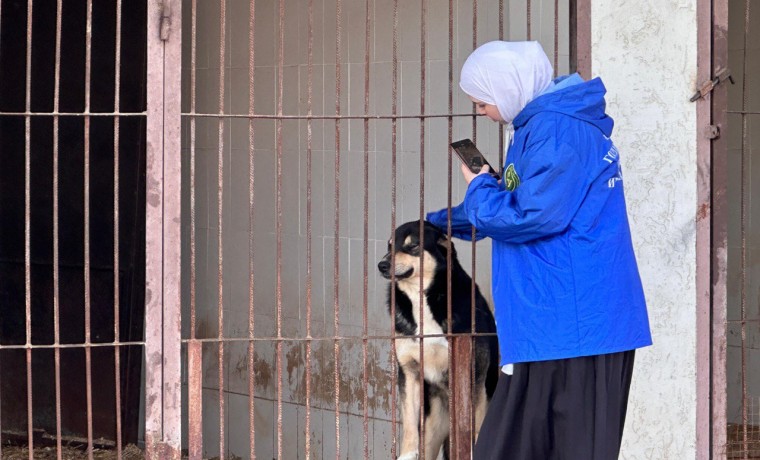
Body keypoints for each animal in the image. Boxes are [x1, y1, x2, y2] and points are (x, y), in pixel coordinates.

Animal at [378, 221, 498, 458]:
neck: (421, 299)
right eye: (390, 245)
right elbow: (408, 423)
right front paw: (406, 453)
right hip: (433, 430)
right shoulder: (409, 371)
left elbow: (476, 425)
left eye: (413, 245)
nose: (382, 265)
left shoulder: (473, 373)